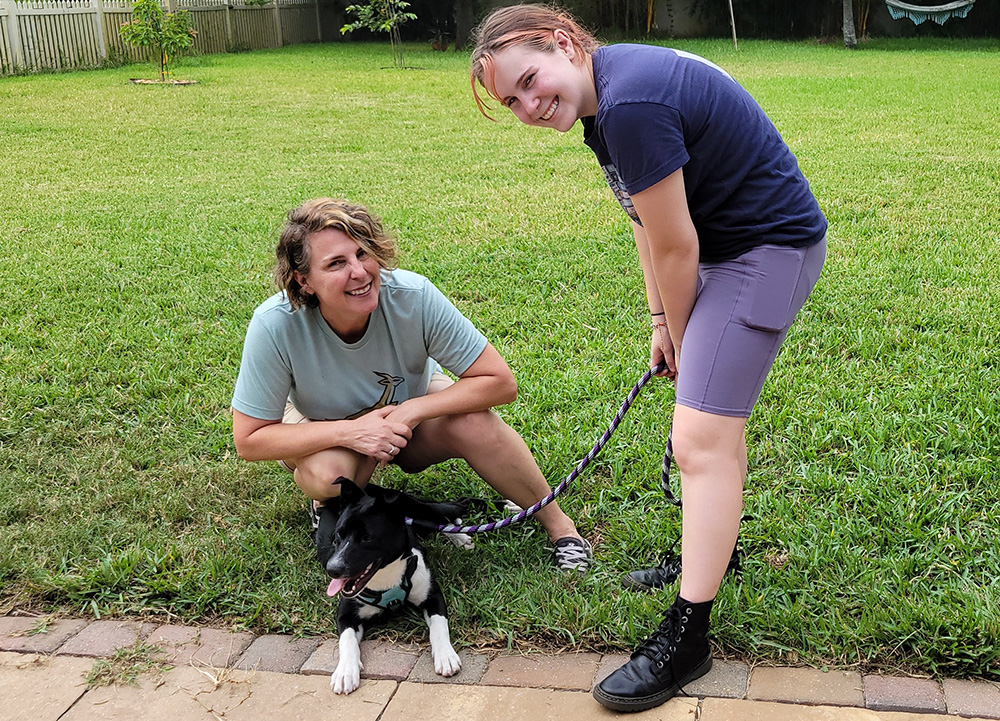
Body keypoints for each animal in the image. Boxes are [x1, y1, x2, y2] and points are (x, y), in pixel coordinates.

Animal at [318, 478, 478, 692]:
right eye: (338, 535)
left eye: (367, 537)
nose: (333, 569)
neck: (386, 579)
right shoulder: (346, 613)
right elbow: (347, 639)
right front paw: (345, 672)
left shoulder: (432, 595)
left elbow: (439, 625)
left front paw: (445, 655)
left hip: (421, 509)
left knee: (449, 513)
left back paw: (461, 536)